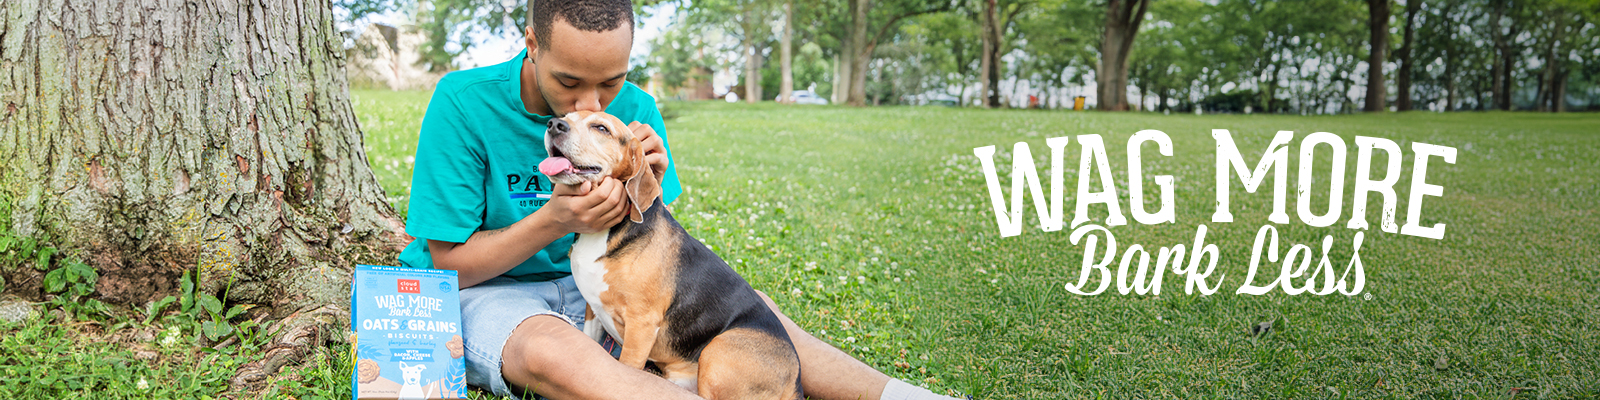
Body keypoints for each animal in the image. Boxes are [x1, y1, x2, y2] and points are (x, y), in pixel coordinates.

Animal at [544, 110, 806, 400]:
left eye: (601, 128)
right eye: (566, 117)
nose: (554, 125)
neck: (604, 234)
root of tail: (795, 382)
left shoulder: (641, 326)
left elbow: (628, 365)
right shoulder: (593, 308)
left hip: (717, 350)